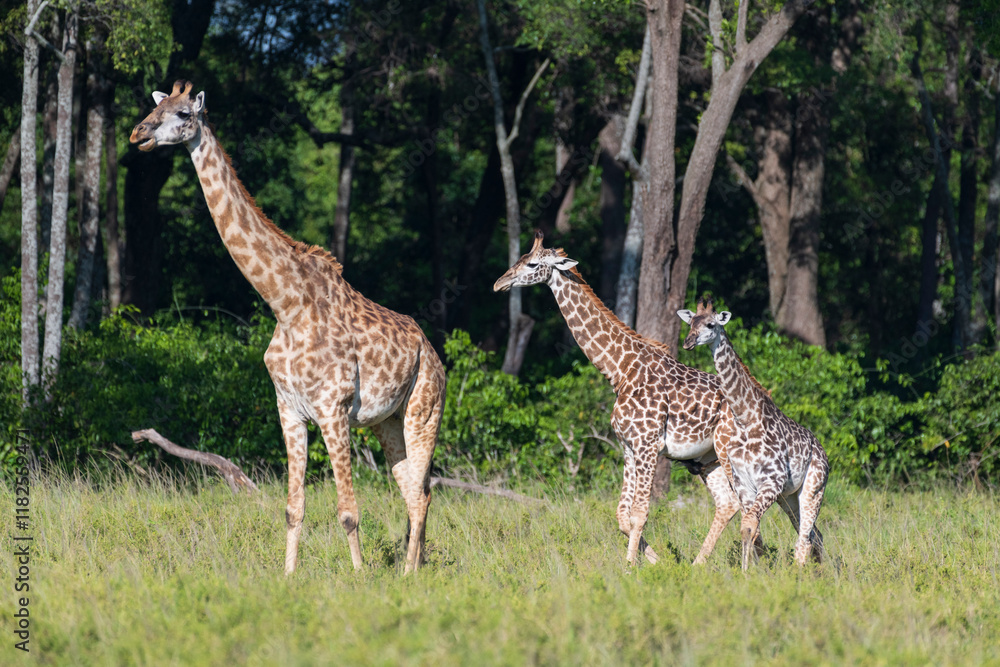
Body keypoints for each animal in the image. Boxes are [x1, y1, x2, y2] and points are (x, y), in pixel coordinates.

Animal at [130, 81, 446, 575]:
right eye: (154, 108)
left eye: (182, 114)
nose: (137, 134)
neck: (285, 303)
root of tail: (432, 352)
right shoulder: (289, 409)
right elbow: (293, 508)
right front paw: (289, 576)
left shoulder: (333, 408)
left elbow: (348, 511)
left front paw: (359, 577)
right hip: (387, 421)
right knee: (415, 489)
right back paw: (410, 568)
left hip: (424, 409)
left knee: (421, 491)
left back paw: (410, 573)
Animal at [494, 232, 760, 565]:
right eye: (519, 259)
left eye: (531, 263)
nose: (499, 283)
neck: (620, 369)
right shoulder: (629, 448)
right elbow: (622, 516)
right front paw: (657, 562)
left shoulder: (648, 445)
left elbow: (639, 513)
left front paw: (631, 567)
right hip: (706, 458)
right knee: (729, 503)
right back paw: (699, 565)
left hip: (731, 454)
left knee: (754, 506)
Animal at [678, 297, 829, 570]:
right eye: (690, 323)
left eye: (711, 324)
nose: (688, 342)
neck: (746, 419)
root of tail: (824, 454)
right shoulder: (744, 485)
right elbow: (748, 527)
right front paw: (749, 572)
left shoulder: (771, 482)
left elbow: (749, 524)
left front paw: (750, 572)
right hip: (790, 497)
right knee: (814, 534)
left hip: (814, 489)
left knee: (804, 539)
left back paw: (801, 575)